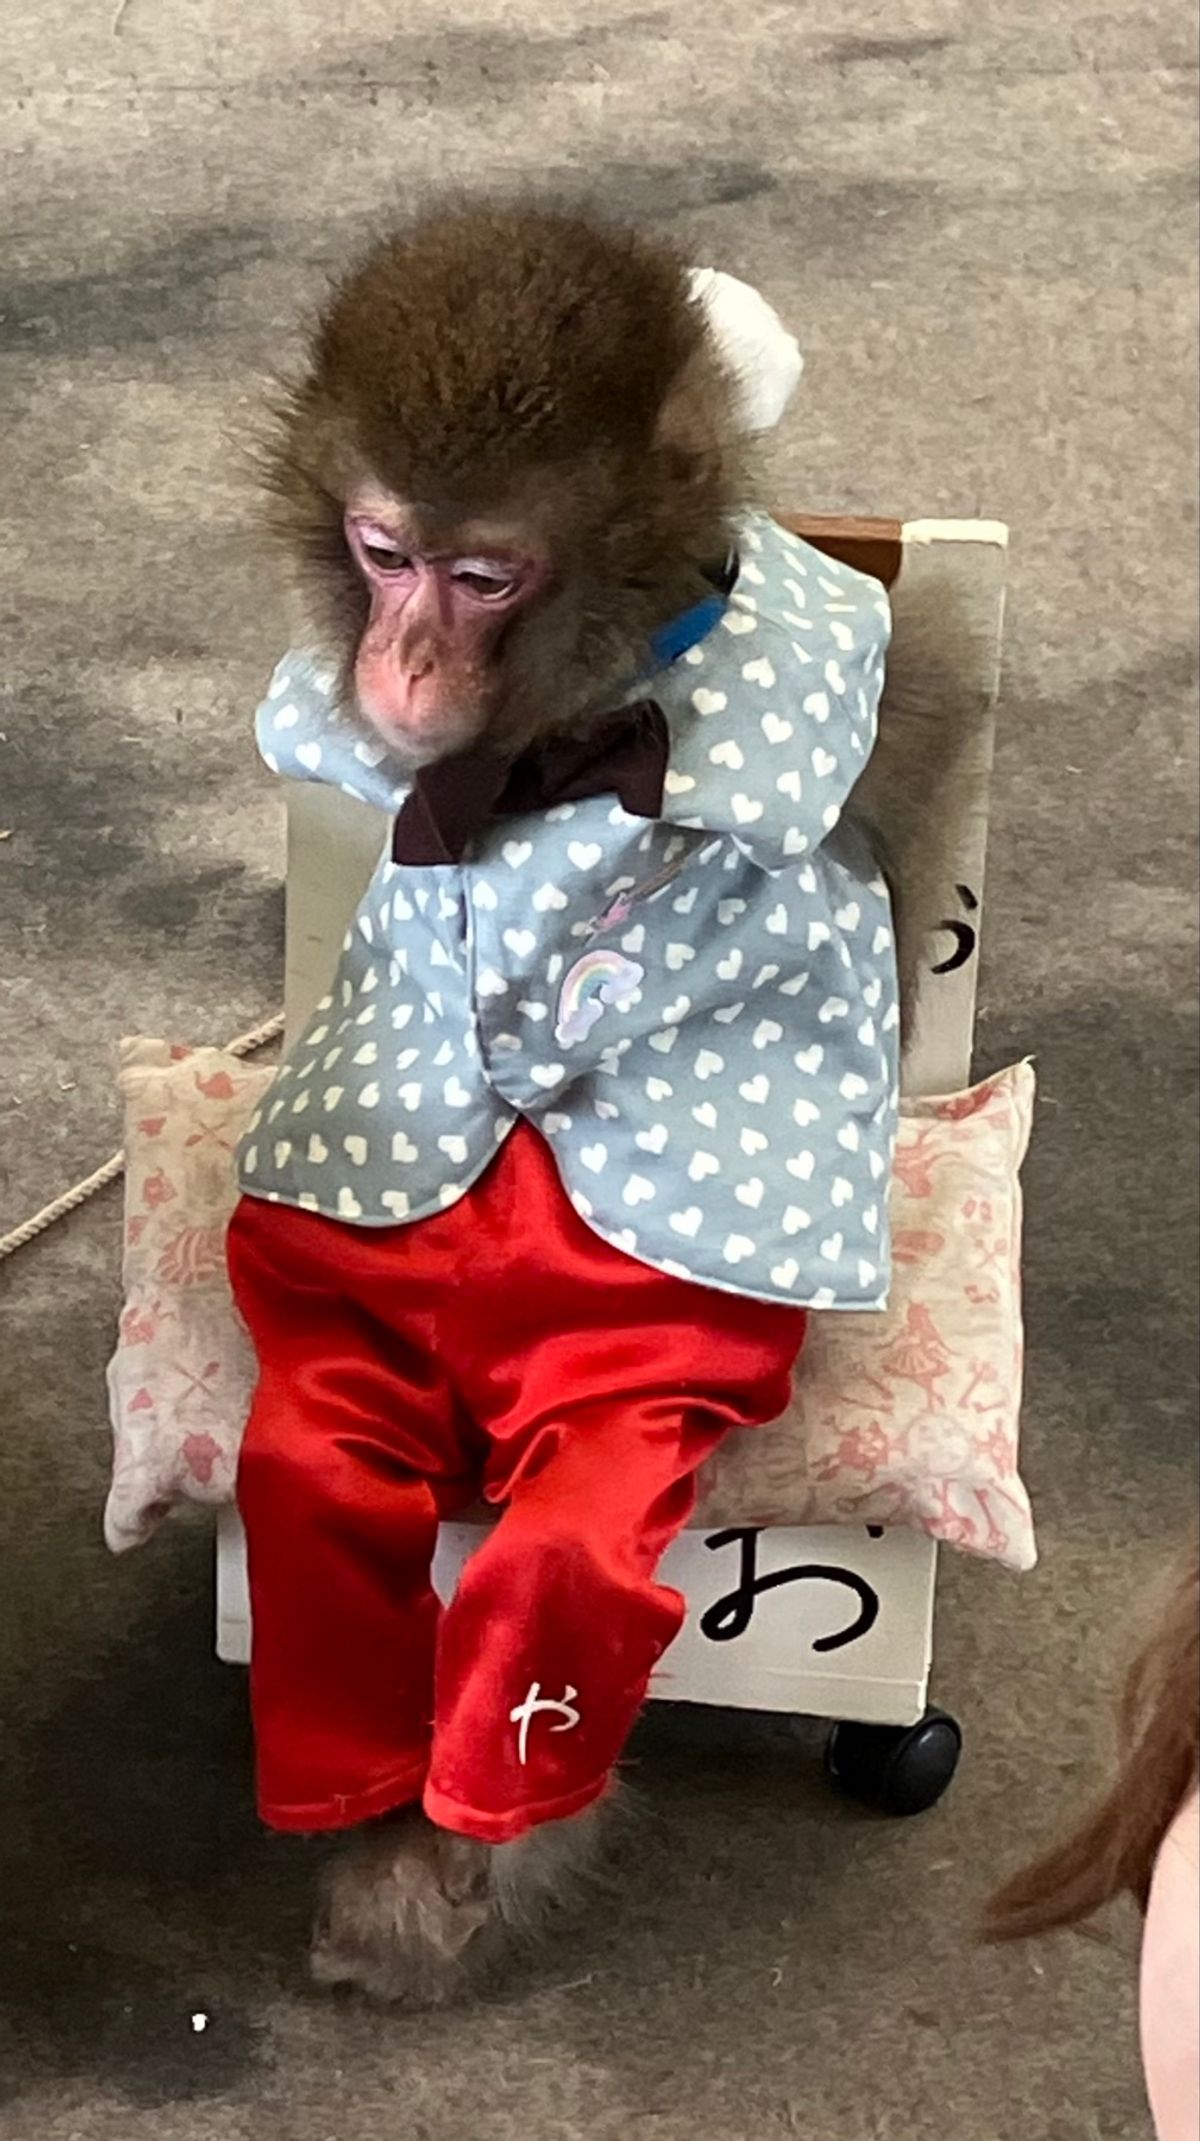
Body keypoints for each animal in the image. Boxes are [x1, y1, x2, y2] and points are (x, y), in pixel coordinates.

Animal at [226, 203, 966, 2006]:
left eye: (483, 577)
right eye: (380, 551)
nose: (401, 658)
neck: (560, 732)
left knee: (572, 1527)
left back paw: (451, 1864)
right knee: (316, 1456)